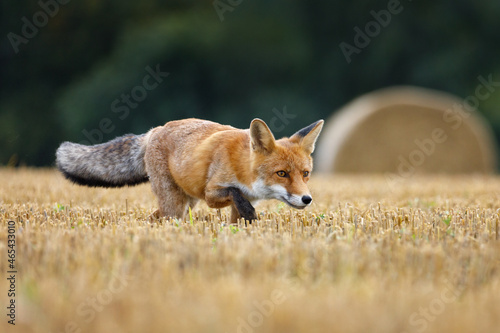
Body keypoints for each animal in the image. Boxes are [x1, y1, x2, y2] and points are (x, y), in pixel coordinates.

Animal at [57, 118, 324, 222]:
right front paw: (250, 213)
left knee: (155, 217)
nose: (307, 199)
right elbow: (235, 193)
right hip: (176, 203)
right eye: (282, 173)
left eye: (305, 174)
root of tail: (155, 130)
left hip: (187, 202)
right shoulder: (212, 193)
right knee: (163, 217)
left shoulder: (239, 201)